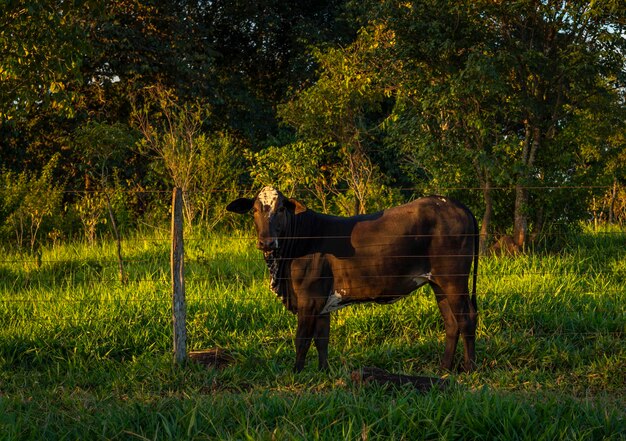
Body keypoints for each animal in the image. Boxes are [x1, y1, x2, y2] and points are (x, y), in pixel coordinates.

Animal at [227, 186, 476, 372]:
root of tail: (455, 204)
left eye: (280, 209)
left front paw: (296, 373)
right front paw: (323, 372)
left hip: (454, 280)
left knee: (466, 318)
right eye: (254, 210)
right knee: (451, 323)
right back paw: (444, 368)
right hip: (439, 284)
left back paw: (468, 368)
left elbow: (302, 339)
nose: (266, 242)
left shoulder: (309, 299)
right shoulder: (322, 303)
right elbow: (321, 339)